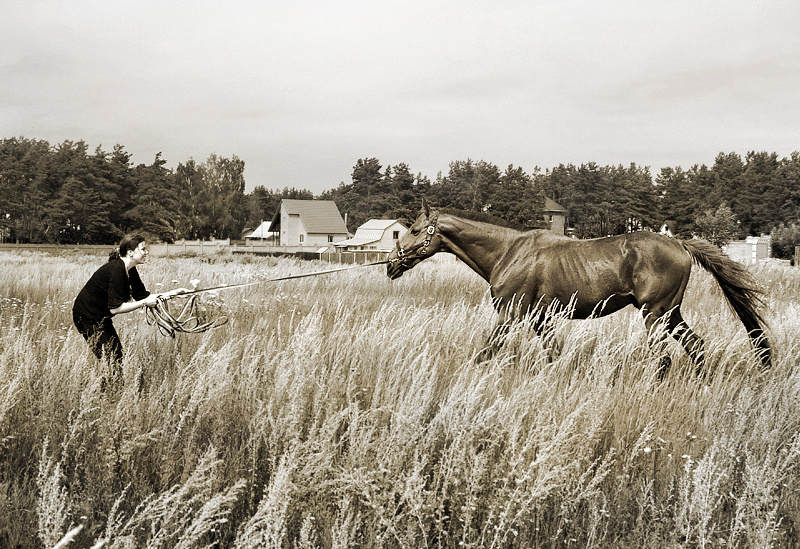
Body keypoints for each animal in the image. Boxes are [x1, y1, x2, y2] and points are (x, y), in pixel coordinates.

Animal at [387, 199, 771, 377]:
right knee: (695, 346)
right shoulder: (540, 319)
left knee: (664, 358)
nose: (391, 263)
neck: (509, 251)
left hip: (655, 314)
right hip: (670, 313)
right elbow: (553, 354)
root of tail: (679, 244)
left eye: (416, 230)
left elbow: (486, 351)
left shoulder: (510, 315)